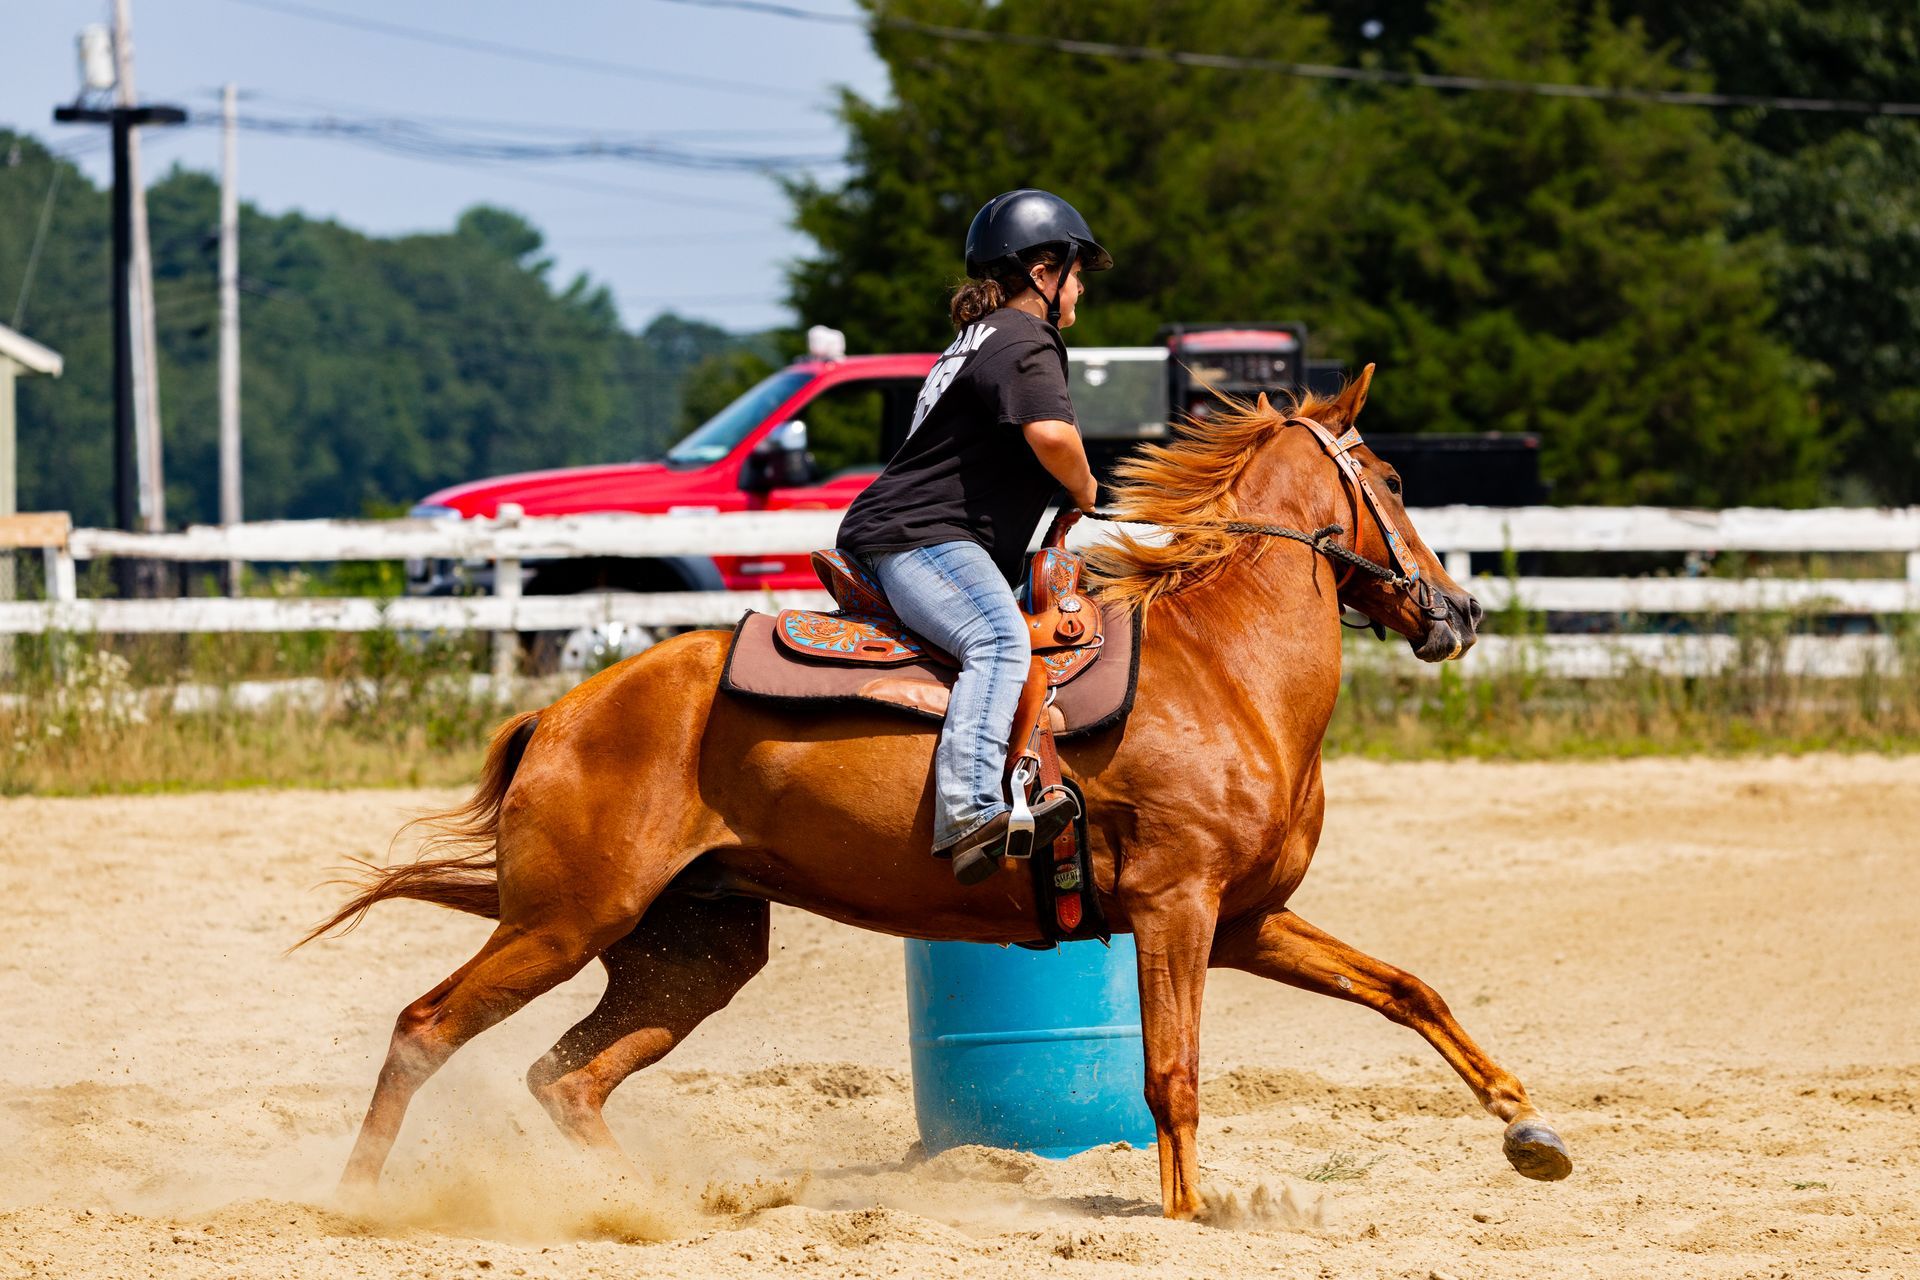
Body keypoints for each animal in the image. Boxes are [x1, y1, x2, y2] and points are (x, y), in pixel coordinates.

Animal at [300, 365, 1572, 1221]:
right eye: (1393, 477)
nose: (1460, 610)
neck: (1223, 666)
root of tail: (562, 713)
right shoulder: (1177, 909)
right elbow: (1171, 1076)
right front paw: (1187, 1217)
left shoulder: (1246, 915)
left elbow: (1407, 989)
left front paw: (1530, 1126)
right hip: (564, 920)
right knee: (427, 1027)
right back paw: (355, 1200)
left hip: (690, 949)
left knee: (564, 1076)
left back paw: (663, 1206)